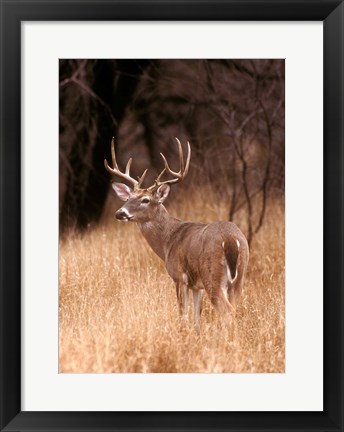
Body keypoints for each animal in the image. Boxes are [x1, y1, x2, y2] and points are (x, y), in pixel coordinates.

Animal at [103, 137, 249, 330]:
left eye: (145, 200)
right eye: (128, 198)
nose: (120, 213)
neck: (168, 241)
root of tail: (231, 240)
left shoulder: (179, 276)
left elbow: (183, 315)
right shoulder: (196, 286)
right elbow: (196, 318)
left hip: (212, 275)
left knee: (227, 312)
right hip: (239, 277)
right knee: (235, 309)